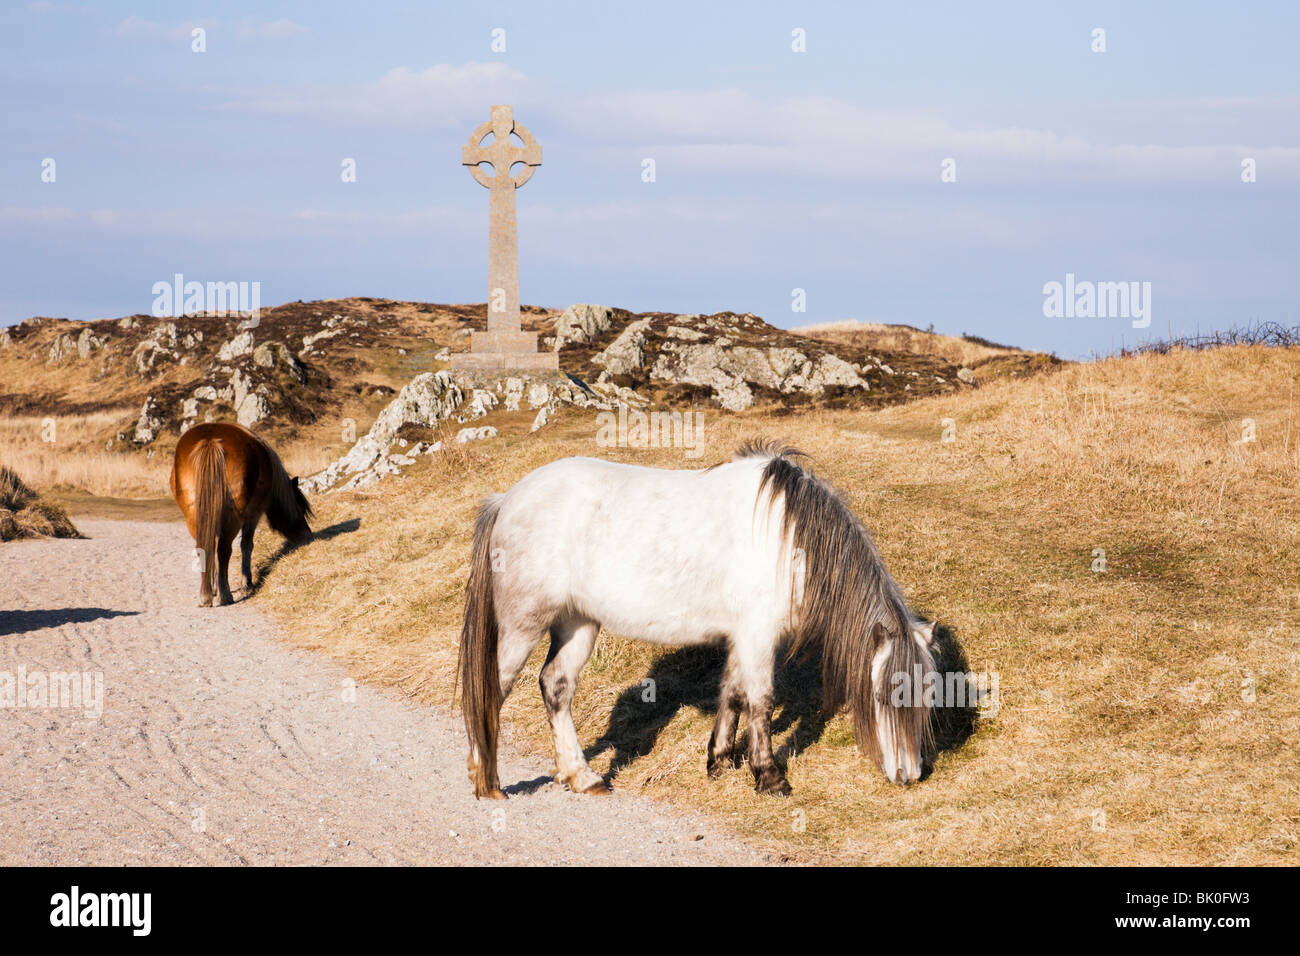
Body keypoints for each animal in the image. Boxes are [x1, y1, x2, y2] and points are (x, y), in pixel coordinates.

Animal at [170, 424, 312, 606]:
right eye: (300, 508)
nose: (307, 535)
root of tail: (210, 441)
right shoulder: (253, 515)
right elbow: (246, 545)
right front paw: (247, 582)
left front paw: (215, 587)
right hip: (234, 519)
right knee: (224, 550)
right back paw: (225, 595)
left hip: (194, 517)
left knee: (205, 547)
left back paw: (207, 594)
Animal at [457, 442, 935, 801]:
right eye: (885, 695)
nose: (909, 775)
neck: (788, 541)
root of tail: (507, 500)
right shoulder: (759, 634)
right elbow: (761, 701)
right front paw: (769, 777)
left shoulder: (744, 635)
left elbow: (733, 693)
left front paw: (719, 761)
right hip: (523, 625)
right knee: (493, 687)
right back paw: (487, 781)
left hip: (578, 624)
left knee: (556, 686)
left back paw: (583, 776)